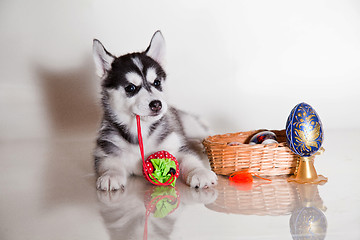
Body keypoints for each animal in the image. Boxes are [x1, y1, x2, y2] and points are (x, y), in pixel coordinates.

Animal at [92, 31, 217, 190]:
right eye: (130, 88)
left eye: (157, 83)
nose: (157, 104)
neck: (141, 130)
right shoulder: (106, 150)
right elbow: (109, 164)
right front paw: (110, 175)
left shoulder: (176, 147)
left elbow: (190, 158)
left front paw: (200, 172)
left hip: (190, 124)